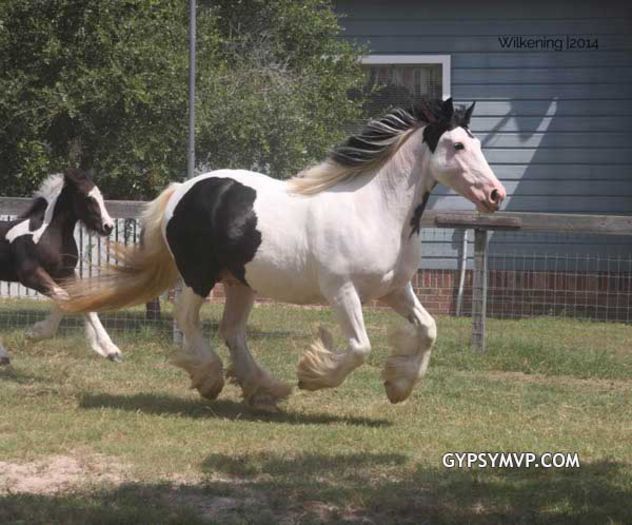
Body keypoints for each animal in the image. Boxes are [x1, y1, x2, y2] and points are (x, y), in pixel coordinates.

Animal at [0, 168, 121, 364]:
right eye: (88, 197)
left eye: (101, 195)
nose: (108, 226)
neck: (50, 234)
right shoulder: (30, 275)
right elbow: (65, 298)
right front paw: (35, 332)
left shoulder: (65, 274)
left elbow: (80, 301)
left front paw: (110, 350)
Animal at [63, 98, 508, 410]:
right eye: (457, 144)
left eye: (477, 142)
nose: (495, 194)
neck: (375, 209)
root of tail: (183, 190)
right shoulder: (342, 291)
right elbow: (360, 348)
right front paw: (313, 376)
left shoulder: (395, 290)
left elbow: (429, 328)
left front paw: (398, 386)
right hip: (198, 277)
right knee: (188, 320)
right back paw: (211, 380)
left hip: (240, 283)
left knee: (233, 332)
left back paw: (263, 390)